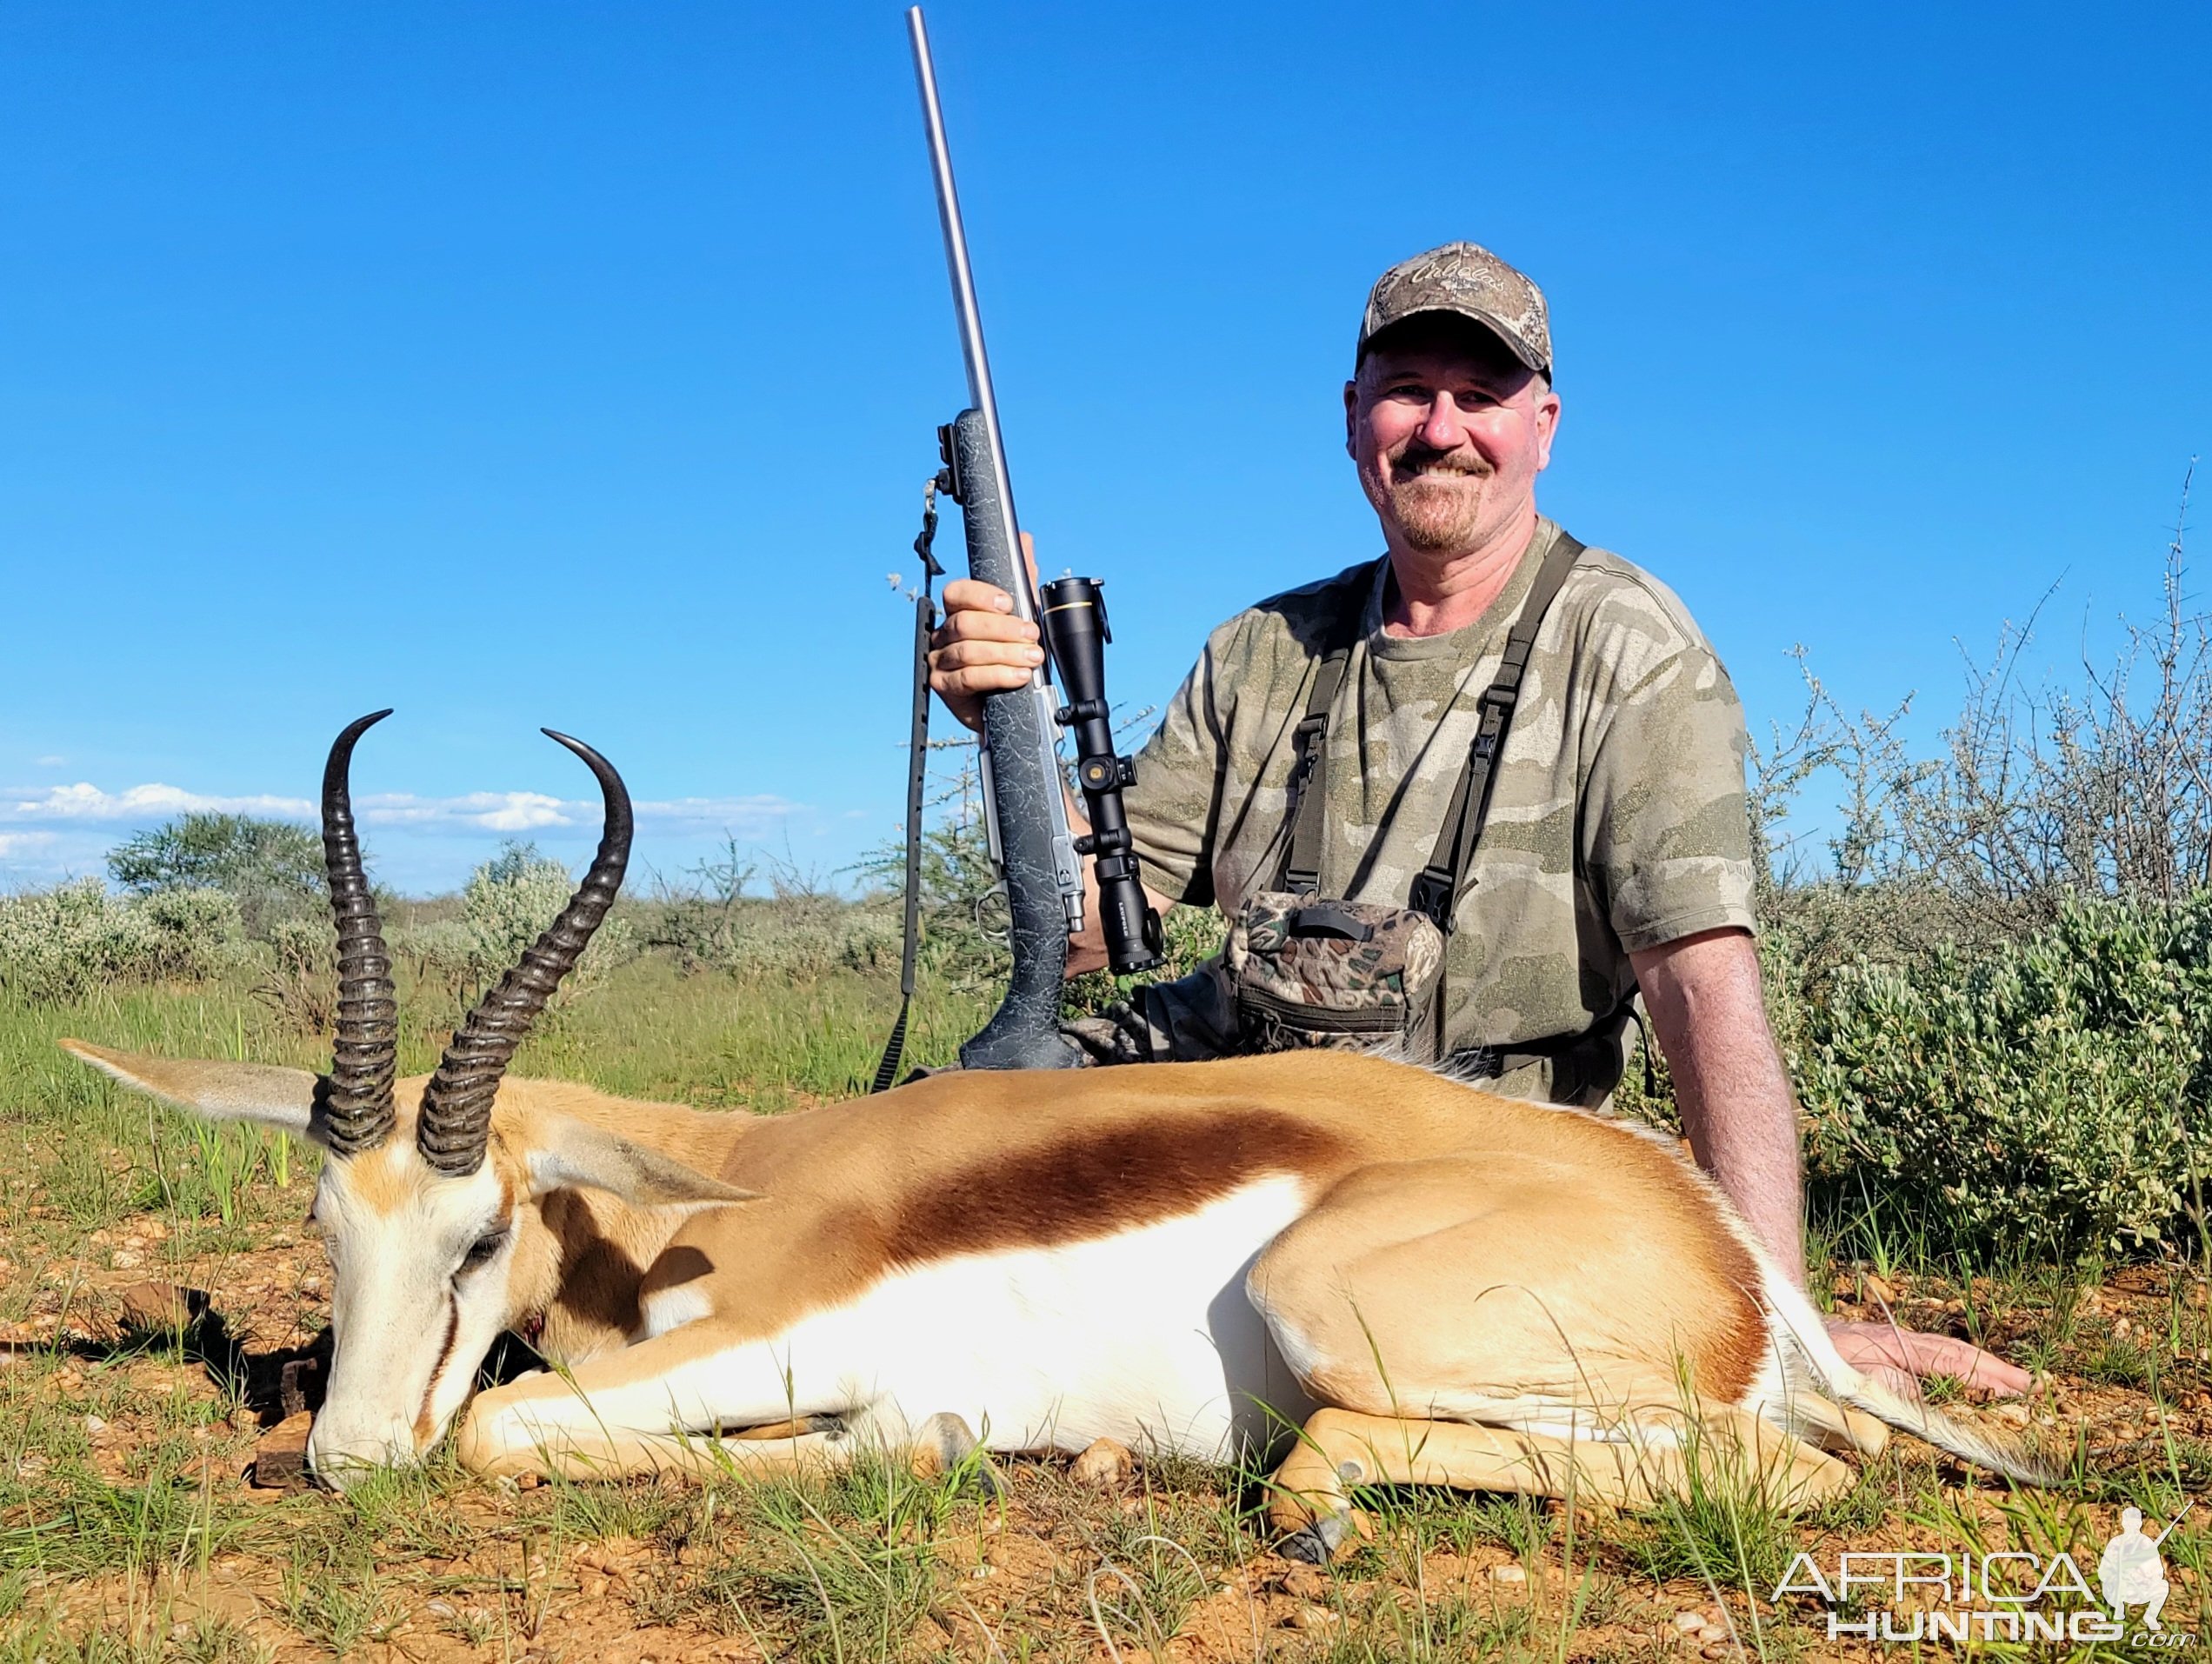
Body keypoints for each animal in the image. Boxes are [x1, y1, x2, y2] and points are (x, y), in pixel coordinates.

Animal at [56, 712, 2052, 1548]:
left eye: (478, 1230)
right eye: (329, 1225)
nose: (343, 1459)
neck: (726, 1186)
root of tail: (1732, 1256)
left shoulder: (772, 1339)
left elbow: (513, 1424)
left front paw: (927, 1444)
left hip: (1340, 1313)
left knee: (1792, 1471)